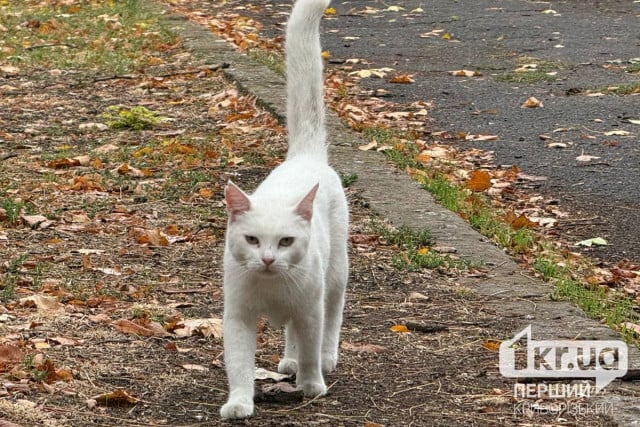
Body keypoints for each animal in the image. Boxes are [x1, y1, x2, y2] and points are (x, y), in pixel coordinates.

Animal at [221, 0, 350, 422]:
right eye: (252, 239)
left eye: (286, 241)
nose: (266, 259)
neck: (272, 287)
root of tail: (304, 156)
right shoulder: (238, 316)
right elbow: (240, 364)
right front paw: (240, 402)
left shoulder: (310, 308)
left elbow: (311, 342)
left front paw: (312, 385)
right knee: (292, 336)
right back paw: (289, 360)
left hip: (335, 275)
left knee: (329, 320)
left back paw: (324, 360)